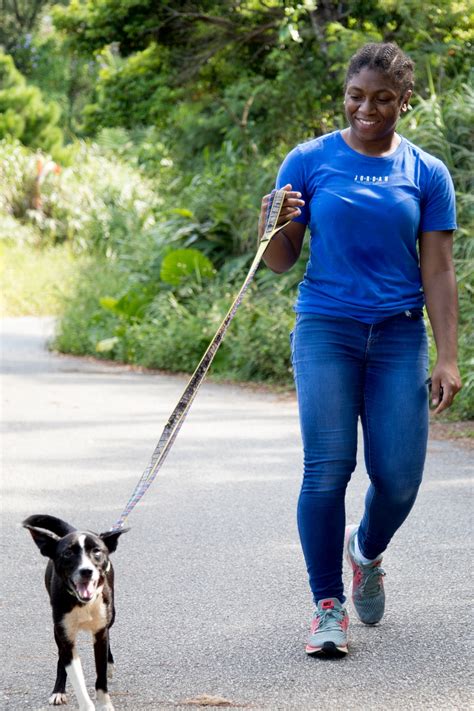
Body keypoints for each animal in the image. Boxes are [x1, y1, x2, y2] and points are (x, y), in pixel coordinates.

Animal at [22, 516, 128, 711]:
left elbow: (101, 676)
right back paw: (58, 691)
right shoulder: (65, 637)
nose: (86, 571)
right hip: (58, 630)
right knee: (60, 657)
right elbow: (77, 679)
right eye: (67, 553)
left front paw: (104, 704)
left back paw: (110, 663)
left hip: (112, 615)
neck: (81, 603)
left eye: (97, 551)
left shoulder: (100, 633)